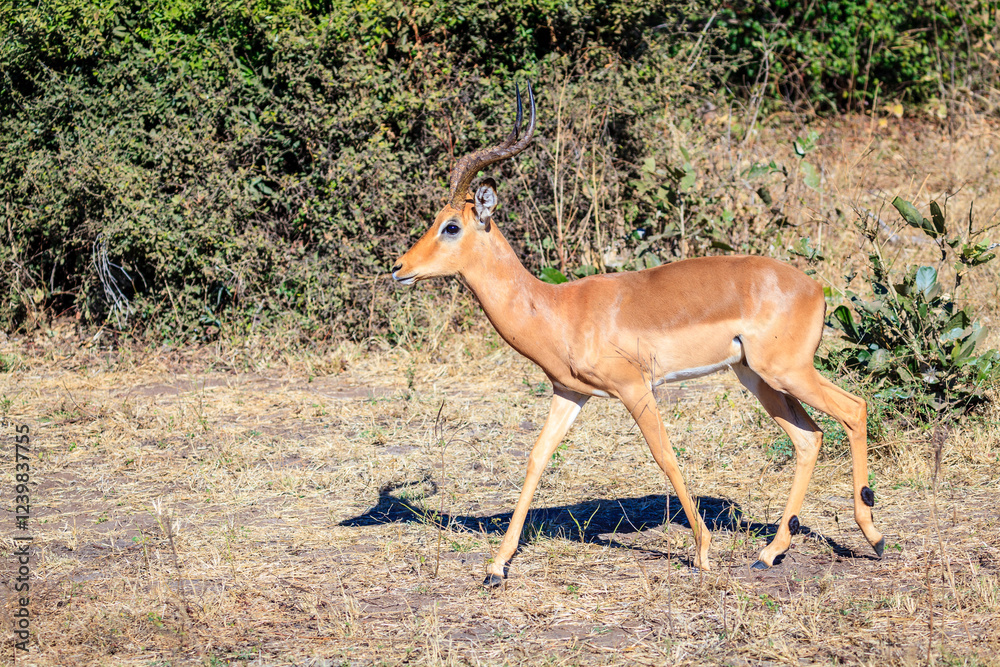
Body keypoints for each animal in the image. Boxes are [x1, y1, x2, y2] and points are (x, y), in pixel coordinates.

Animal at [391, 83, 884, 587]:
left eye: (451, 226)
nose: (399, 268)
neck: (557, 309)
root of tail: (816, 288)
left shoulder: (634, 388)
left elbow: (664, 454)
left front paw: (702, 553)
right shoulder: (569, 393)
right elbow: (536, 458)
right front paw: (495, 567)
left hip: (787, 371)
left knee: (854, 409)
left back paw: (874, 537)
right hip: (755, 377)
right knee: (809, 437)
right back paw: (770, 553)